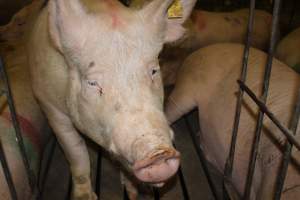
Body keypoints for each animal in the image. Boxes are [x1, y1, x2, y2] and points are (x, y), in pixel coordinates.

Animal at [27, 0, 197, 199]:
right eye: (92, 83)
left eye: (154, 71)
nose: (158, 153)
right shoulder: (50, 107)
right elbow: (77, 153)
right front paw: (85, 197)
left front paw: (133, 192)